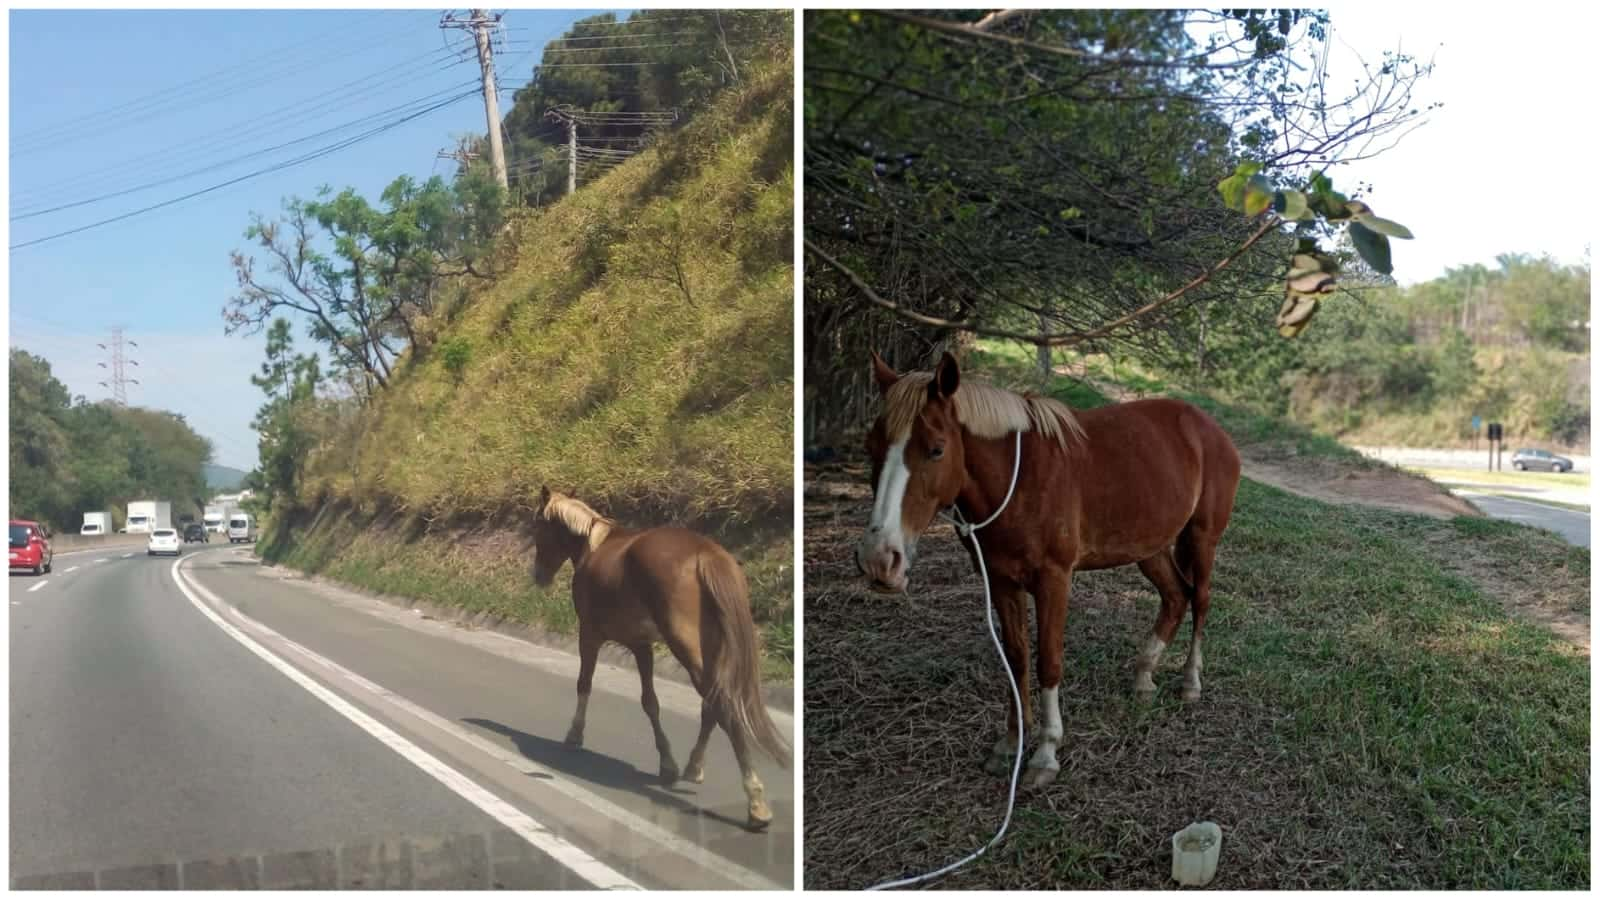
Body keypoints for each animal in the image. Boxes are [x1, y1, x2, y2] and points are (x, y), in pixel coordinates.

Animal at [534, 483, 790, 826]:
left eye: (538, 525)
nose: (539, 575)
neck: (594, 546)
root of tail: (705, 554)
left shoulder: (589, 635)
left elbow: (584, 684)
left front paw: (574, 735)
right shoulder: (642, 645)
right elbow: (650, 703)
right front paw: (667, 763)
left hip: (686, 648)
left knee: (722, 705)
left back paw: (755, 799)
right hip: (710, 650)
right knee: (712, 705)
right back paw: (695, 767)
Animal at [857, 350, 1241, 784]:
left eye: (936, 449)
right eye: (871, 447)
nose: (879, 559)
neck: (1020, 479)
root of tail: (1209, 428)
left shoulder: (1054, 579)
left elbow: (1049, 661)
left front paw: (1045, 752)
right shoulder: (1001, 580)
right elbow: (1017, 658)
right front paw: (1011, 742)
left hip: (1202, 539)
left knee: (1201, 600)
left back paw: (1191, 681)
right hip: (1150, 547)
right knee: (1176, 597)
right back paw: (1144, 677)